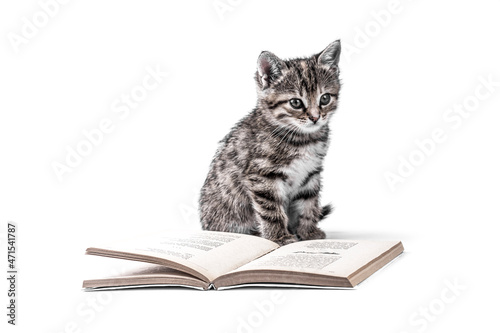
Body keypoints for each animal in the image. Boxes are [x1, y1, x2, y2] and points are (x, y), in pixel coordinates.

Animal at [198, 40, 340, 244]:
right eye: (296, 102)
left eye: (325, 98)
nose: (315, 117)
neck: (302, 139)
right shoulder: (261, 175)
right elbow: (271, 209)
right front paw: (279, 237)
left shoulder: (311, 172)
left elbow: (308, 202)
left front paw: (308, 233)